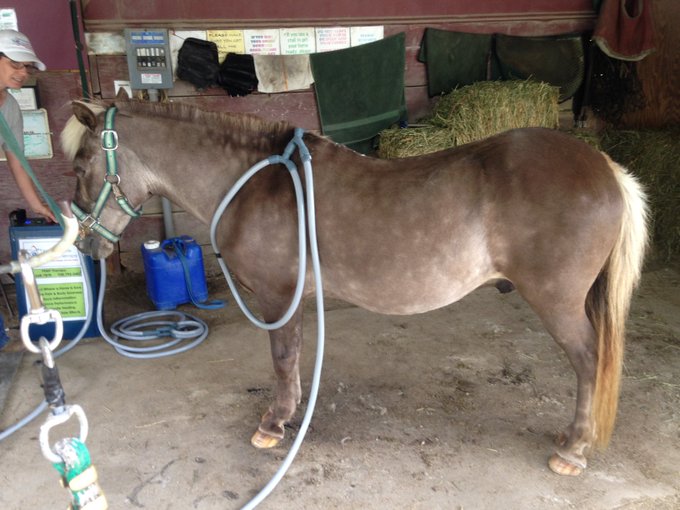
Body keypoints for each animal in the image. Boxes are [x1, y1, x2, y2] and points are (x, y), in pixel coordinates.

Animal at [62, 99, 648, 478]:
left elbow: (282, 359)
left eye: (81, 164)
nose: (85, 244)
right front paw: (291, 414)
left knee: (589, 361)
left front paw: (273, 424)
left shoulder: (277, 297)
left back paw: (572, 449)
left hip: (559, 302)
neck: (257, 182)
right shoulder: (292, 300)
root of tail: (606, 168)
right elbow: (294, 359)